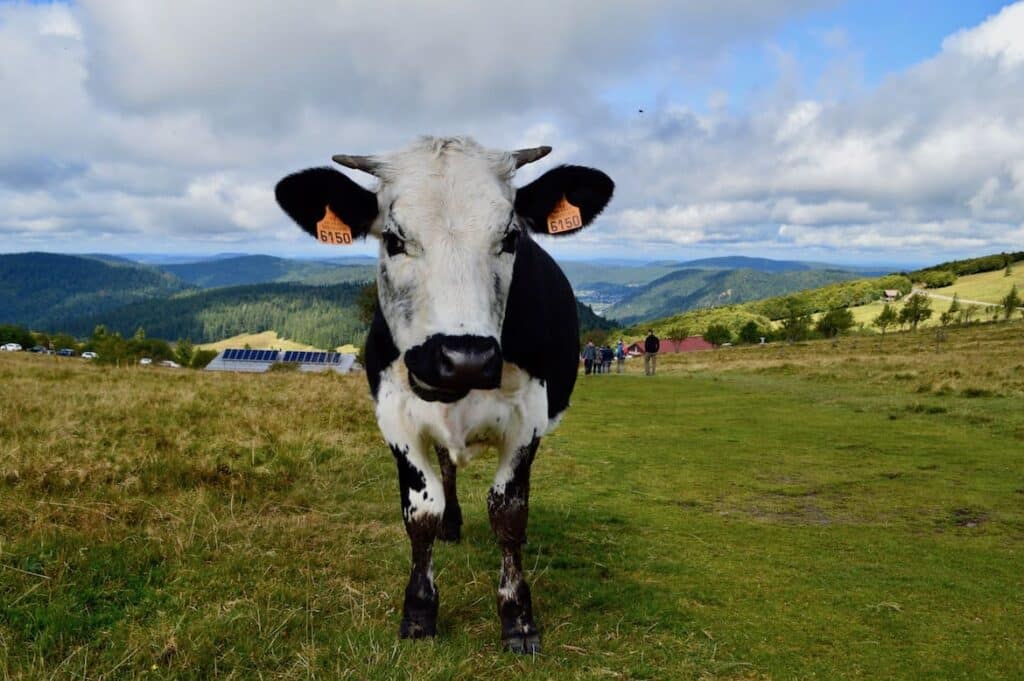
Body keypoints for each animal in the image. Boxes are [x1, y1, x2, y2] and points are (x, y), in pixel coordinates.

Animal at [274, 137, 614, 655]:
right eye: (393, 239)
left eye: (510, 238)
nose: (464, 357)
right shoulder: (394, 413)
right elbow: (422, 512)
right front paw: (418, 611)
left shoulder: (529, 416)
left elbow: (508, 512)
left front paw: (518, 618)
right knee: (448, 469)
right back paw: (453, 525)